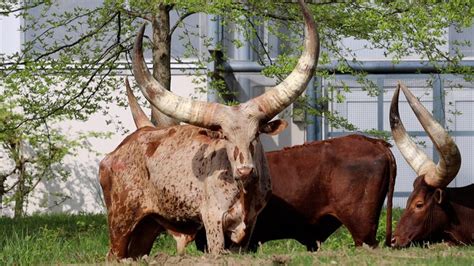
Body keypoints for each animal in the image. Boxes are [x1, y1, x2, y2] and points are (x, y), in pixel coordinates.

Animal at [98, 0, 320, 258]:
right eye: (225, 137)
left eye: (256, 134)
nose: (245, 170)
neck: (243, 193)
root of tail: (119, 150)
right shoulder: (213, 219)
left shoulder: (249, 226)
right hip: (120, 221)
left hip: (147, 227)